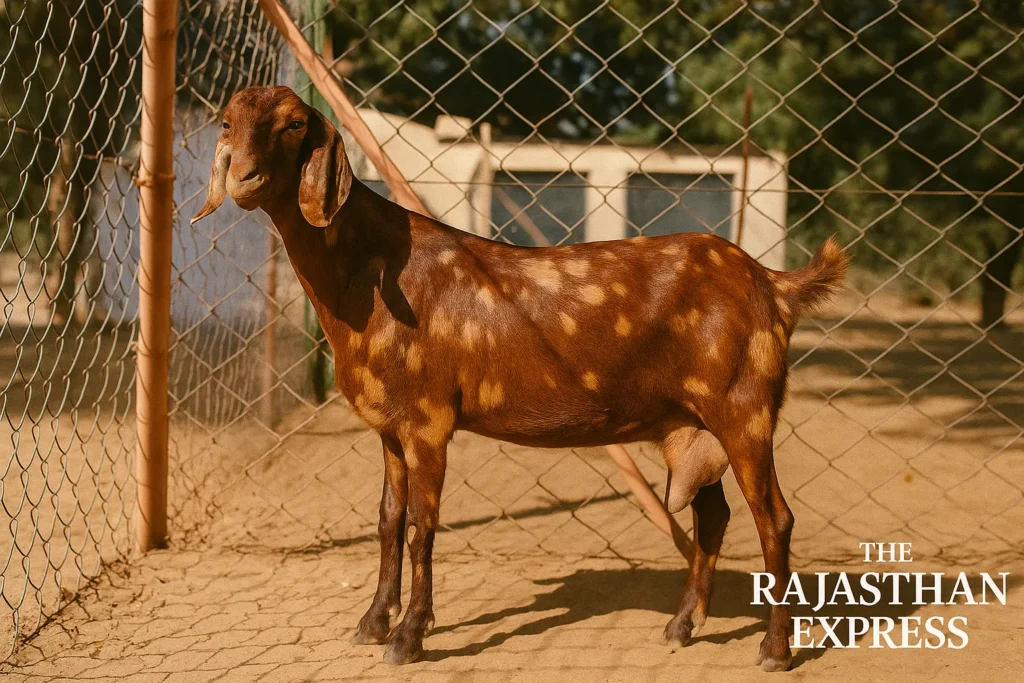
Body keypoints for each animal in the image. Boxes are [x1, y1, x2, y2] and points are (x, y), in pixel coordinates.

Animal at [192, 85, 848, 671]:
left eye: (294, 124)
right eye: (226, 121)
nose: (245, 179)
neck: (369, 273)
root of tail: (772, 284)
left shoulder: (429, 420)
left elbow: (422, 527)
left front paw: (408, 637)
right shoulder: (390, 428)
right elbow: (387, 519)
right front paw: (373, 622)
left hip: (744, 411)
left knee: (774, 519)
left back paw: (774, 651)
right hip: (691, 426)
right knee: (713, 518)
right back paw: (681, 627)